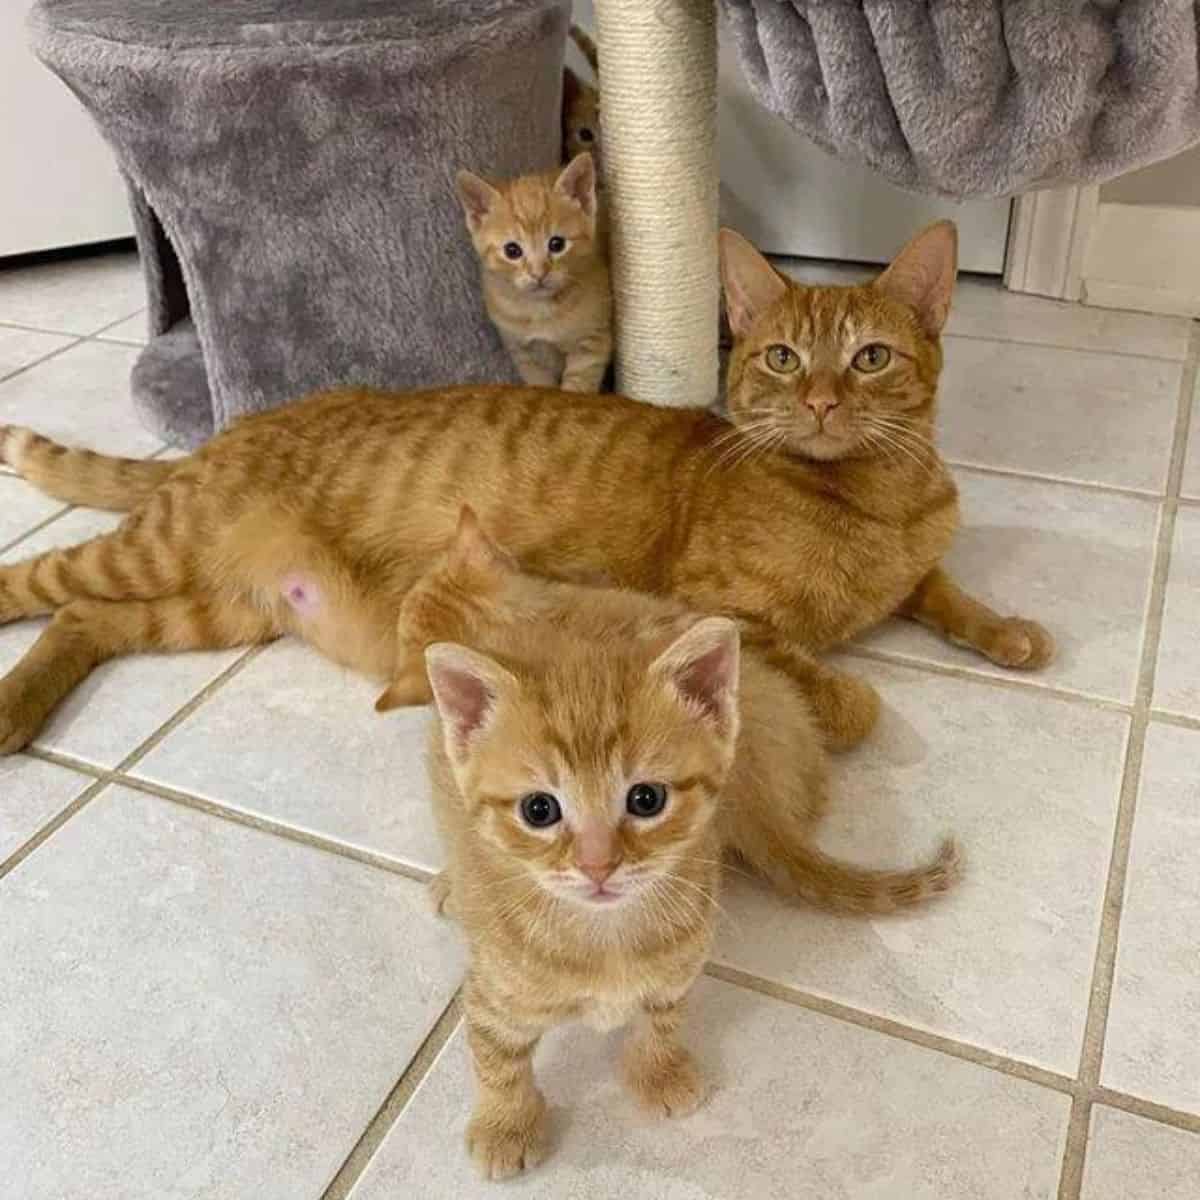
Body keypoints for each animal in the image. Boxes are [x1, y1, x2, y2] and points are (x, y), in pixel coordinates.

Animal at [0, 220, 1051, 753]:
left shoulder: (915, 570)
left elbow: (943, 591)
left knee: (85, 620)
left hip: (216, 608)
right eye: (783, 359)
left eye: (870, 358)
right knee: (39, 584)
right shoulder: (716, 614)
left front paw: (1005, 629)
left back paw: (22, 707)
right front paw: (842, 705)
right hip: (155, 552)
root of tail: (233, 427)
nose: (825, 402)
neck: (878, 497)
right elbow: (838, 690)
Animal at [278, 506, 955, 1180]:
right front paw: (505, 1123)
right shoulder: (494, 991)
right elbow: (496, 1057)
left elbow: (663, 1017)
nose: (598, 864)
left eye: (646, 799)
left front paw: (658, 1070)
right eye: (539, 809)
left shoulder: (680, 965)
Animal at [453, 152, 614, 391]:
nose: (538, 274)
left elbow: (577, 387)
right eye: (512, 251)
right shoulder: (524, 354)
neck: (540, 310)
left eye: (557, 244)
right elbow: (541, 386)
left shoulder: (591, 345)